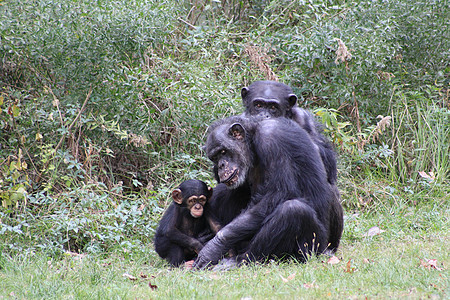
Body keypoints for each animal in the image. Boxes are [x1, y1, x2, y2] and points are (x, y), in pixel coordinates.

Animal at [192, 116, 342, 268]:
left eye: (223, 152)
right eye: (214, 158)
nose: (221, 166)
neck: (252, 141)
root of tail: (326, 250)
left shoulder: (271, 139)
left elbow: (279, 192)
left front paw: (214, 247)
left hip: (314, 248)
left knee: (293, 210)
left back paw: (239, 260)